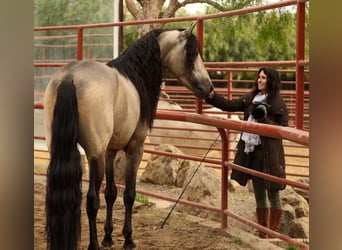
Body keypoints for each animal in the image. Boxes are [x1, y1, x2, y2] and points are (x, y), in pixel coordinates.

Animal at [42, 24, 214, 250]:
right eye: (191, 54)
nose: (209, 88)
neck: (134, 76)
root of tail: (69, 78)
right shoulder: (135, 149)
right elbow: (129, 194)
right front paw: (128, 239)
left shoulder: (110, 151)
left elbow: (111, 193)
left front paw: (108, 237)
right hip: (94, 155)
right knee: (91, 200)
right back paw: (93, 245)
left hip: (61, 149)